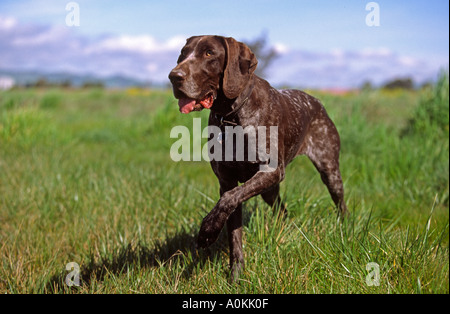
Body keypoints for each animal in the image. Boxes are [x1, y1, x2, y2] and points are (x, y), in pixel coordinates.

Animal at [169, 35, 348, 280]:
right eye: (183, 53)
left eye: (209, 53)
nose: (173, 76)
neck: (231, 117)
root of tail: (316, 102)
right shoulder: (227, 181)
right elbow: (233, 227)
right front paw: (235, 275)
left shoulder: (270, 172)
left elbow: (227, 201)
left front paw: (207, 231)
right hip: (269, 191)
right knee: (282, 211)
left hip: (329, 170)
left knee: (340, 203)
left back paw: (346, 229)